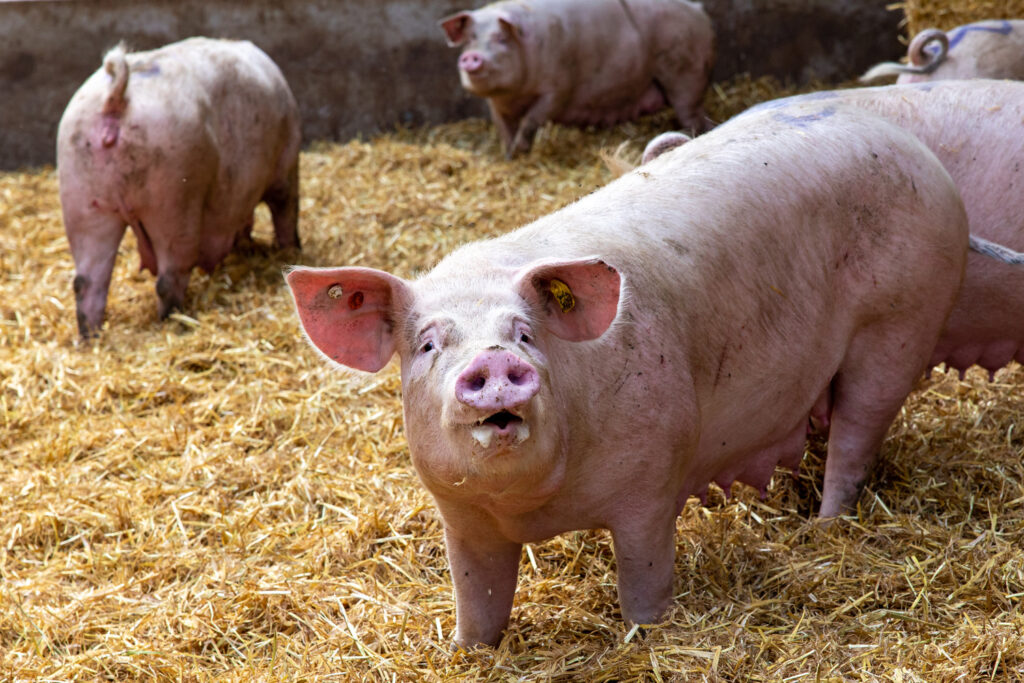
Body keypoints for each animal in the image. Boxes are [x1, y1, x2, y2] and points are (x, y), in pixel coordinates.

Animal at [57, 37, 301, 337]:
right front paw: (291, 252)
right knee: (169, 278)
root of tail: (116, 99)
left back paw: (90, 337)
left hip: (82, 200)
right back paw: (174, 322)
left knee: (86, 282)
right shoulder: (287, 165)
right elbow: (285, 211)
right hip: (174, 199)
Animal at [287, 102, 968, 646]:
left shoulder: (653, 478)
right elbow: (477, 597)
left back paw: (826, 526)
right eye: (429, 344)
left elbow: (644, 575)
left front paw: (644, 636)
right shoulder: (462, 517)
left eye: (525, 334)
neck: (534, 509)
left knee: (857, 438)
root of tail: (914, 150)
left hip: (898, 325)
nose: (494, 360)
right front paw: (465, 652)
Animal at [439, 0, 715, 158]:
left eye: (501, 38)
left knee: (691, 113)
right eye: (470, 38)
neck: (515, 95)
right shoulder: (496, 104)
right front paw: (510, 156)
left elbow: (531, 120)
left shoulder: (558, 88)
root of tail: (698, 10)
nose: (471, 57)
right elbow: (504, 129)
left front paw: (521, 149)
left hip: (685, 71)